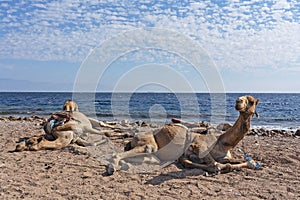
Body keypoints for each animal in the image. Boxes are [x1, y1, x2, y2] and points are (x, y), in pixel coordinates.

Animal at [108, 95, 260, 175]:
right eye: (242, 100)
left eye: (252, 101)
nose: (238, 101)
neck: (222, 142)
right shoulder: (200, 146)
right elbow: (215, 164)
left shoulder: (224, 156)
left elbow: (240, 160)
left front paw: (252, 163)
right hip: (148, 143)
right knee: (144, 149)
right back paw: (112, 167)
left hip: (152, 155)